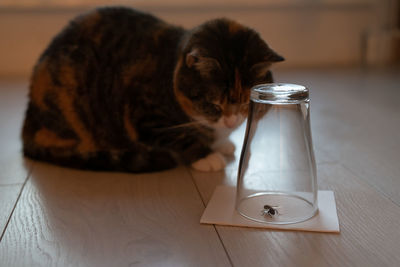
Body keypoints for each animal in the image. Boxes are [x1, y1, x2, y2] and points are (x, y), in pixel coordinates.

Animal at [21, 6, 284, 174]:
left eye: (245, 103)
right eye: (213, 105)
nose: (231, 122)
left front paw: (222, 143)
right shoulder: (145, 115)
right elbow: (179, 136)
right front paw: (207, 156)